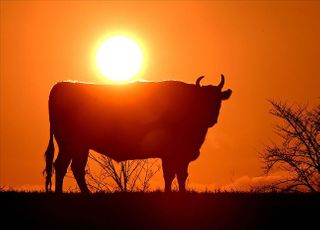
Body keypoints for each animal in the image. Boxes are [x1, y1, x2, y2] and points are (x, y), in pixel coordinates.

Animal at [43, 75, 231, 192]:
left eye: (218, 100)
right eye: (203, 100)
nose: (211, 118)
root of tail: (61, 85)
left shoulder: (179, 156)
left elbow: (180, 175)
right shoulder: (171, 154)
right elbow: (171, 175)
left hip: (78, 147)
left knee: (71, 167)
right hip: (71, 144)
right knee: (65, 167)